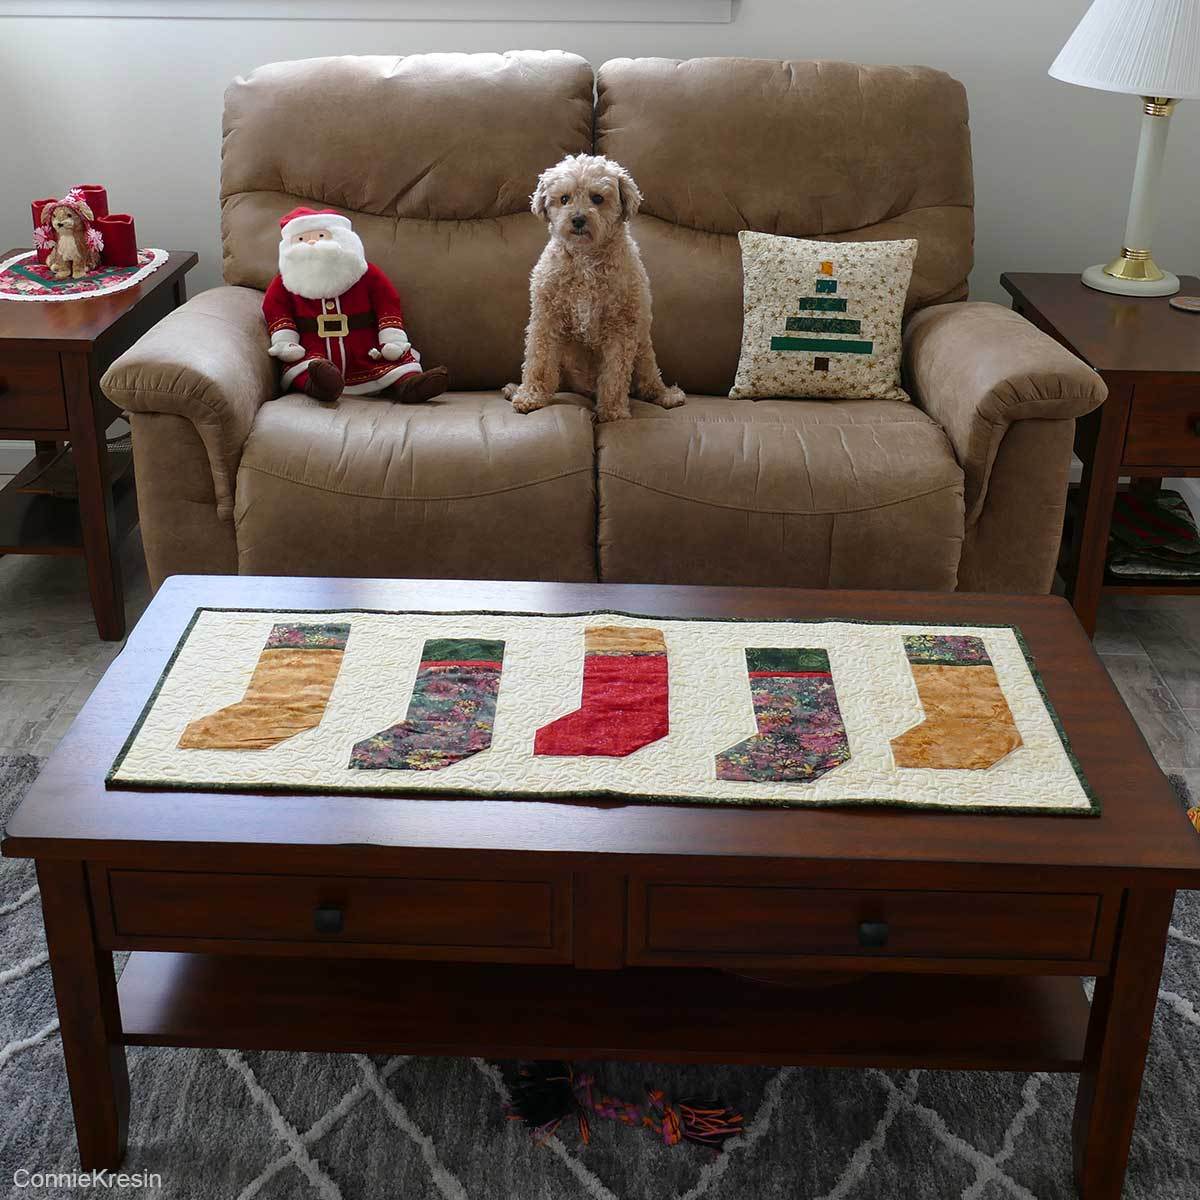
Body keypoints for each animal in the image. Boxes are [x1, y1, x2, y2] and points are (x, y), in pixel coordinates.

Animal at [499, 156, 686, 422]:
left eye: (597, 198)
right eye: (564, 198)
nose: (578, 219)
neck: (585, 259)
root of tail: (584, 390)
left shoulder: (621, 328)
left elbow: (615, 375)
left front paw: (613, 413)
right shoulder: (546, 319)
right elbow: (539, 362)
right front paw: (530, 397)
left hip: (643, 351)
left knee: (649, 382)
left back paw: (667, 396)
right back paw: (515, 389)